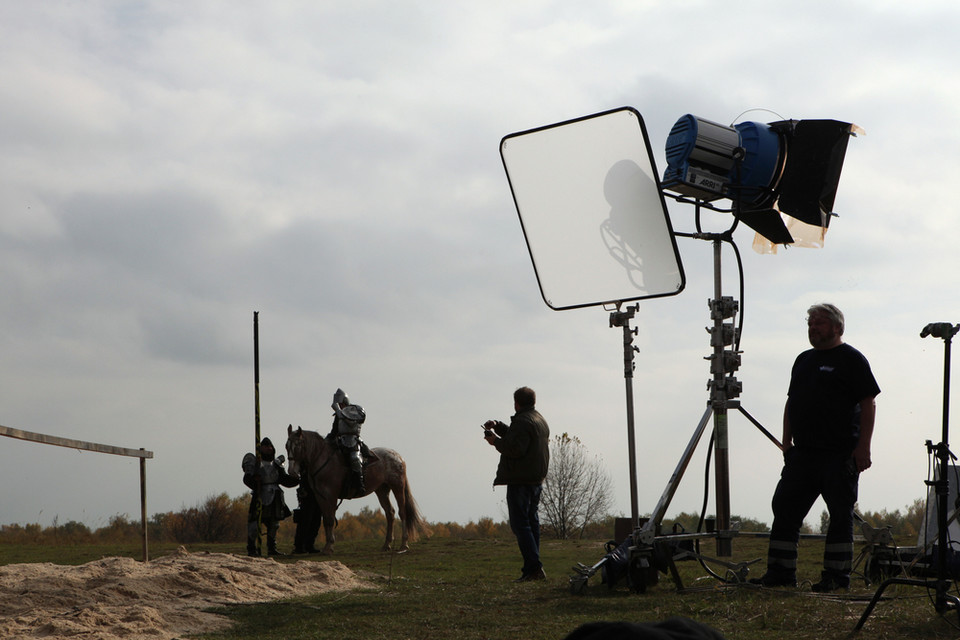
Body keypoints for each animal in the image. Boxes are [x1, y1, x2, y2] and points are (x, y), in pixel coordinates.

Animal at [284, 424, 428, 556]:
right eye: (286, 446)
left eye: (297, 446)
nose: (292, 472)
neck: (323, 460)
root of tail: (398, 457)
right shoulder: (321, 497)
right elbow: (326, 520)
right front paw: (327, 546)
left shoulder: (331, 496)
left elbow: (330, 519)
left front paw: (329, 546)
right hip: (382, 490)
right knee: (390, 513)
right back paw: (386, 544)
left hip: (397, 487)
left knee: (402, 512)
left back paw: (404, 545)